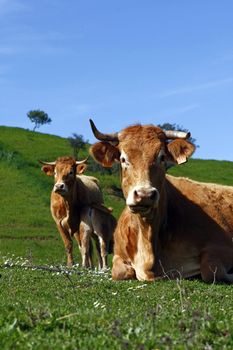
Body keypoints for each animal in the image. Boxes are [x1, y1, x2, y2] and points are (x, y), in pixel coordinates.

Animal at [88, 119, 233, 284]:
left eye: (162, 157)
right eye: (123, 159)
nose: (144, 194)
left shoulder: (222, 245)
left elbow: (210, 271)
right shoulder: (119, 254)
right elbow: (119, 272)